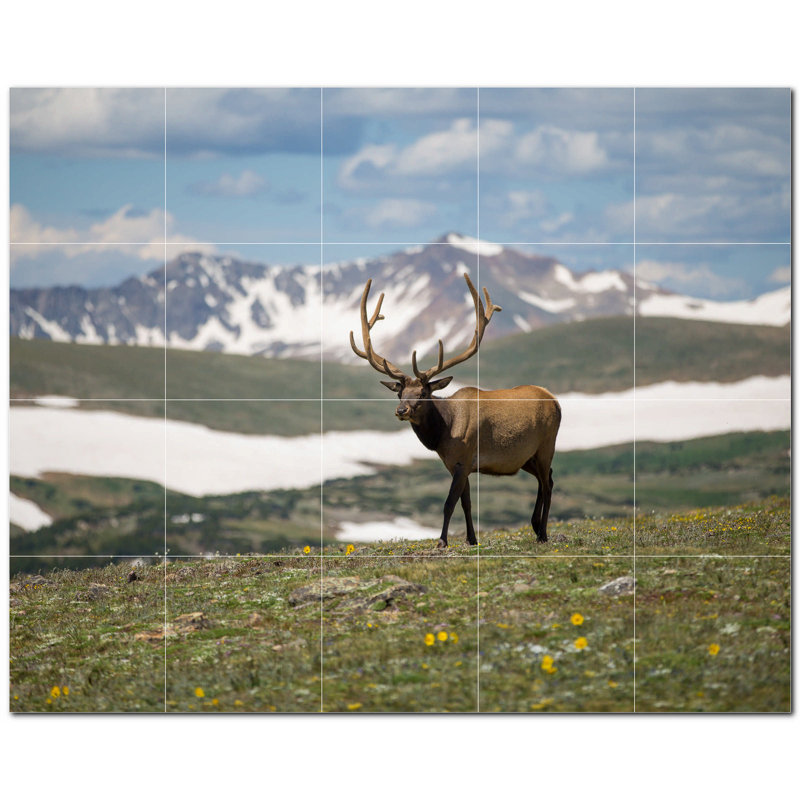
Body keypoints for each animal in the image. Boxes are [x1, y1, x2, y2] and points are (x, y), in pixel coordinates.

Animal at [349, 272, 561, 548]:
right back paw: (535, 526)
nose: (401, 410)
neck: (443, 434)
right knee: (547, 478)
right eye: (399, 392)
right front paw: (472, 539)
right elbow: (466, 503)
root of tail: (555, 401)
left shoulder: (464, 457)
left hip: (547, 445)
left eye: (423, 393)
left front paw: (442, 541)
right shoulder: (456, 464)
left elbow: (449, 503)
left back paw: (543, 533)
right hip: (527, 457)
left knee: (548, 483)